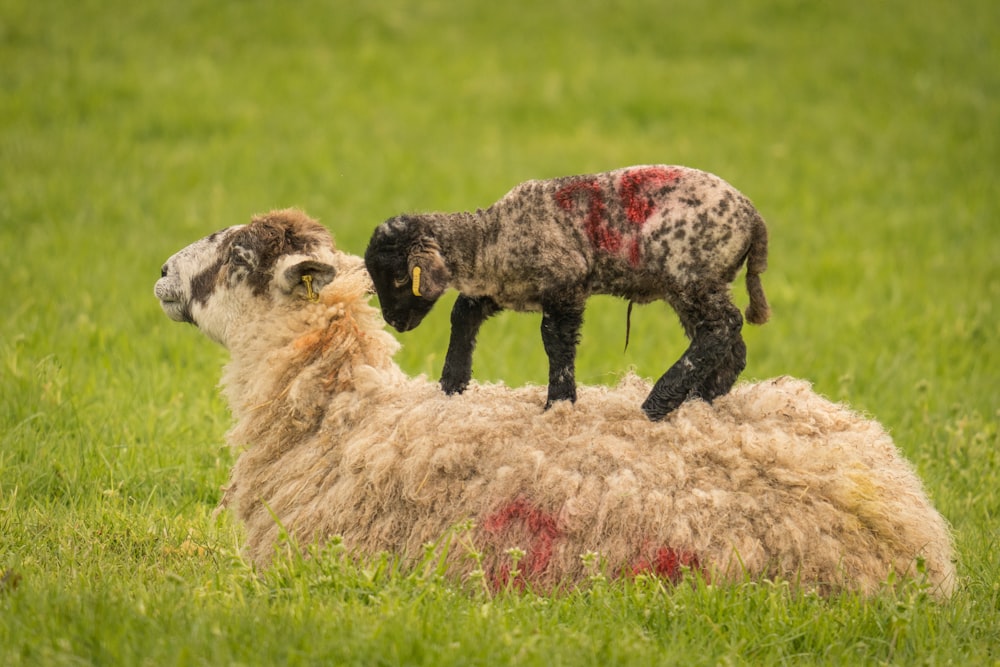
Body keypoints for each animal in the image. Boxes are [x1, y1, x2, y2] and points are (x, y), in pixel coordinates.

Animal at [368, 164, 772, 420]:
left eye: (401, 279)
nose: (394, 322)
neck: (488, 240)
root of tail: (754, 220)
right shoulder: (502, 287)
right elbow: (463, 312)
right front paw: (452, 385)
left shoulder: (565, 285)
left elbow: (554, 341)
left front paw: (559, 403)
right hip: (693, 286)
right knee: (730, 344)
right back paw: (700, 400)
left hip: (693, 276)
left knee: (723, 326)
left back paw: (658, 403)